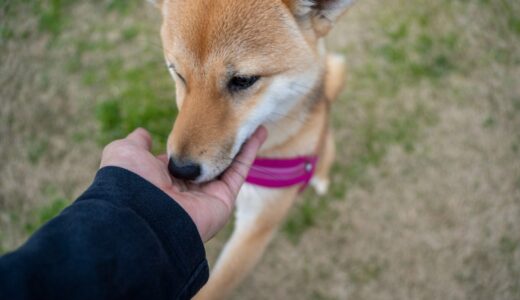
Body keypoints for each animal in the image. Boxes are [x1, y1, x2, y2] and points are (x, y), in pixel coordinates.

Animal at [152, 0, 352, 298]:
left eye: (243, 80)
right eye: (177, 73)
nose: (179, 169)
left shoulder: (257, 224)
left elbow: (215, 286)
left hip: (326, 144)